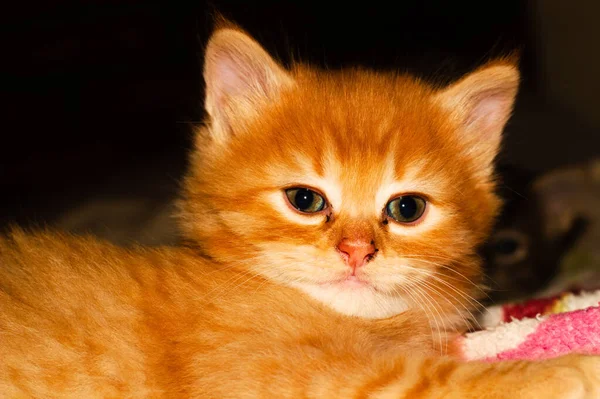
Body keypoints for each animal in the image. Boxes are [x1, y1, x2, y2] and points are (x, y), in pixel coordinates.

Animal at [1, 23, 600, 398]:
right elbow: (444, 383)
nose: (356, 251)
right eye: (305, 201)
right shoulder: (281, 378)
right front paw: (574, 369)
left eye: (407, 208)